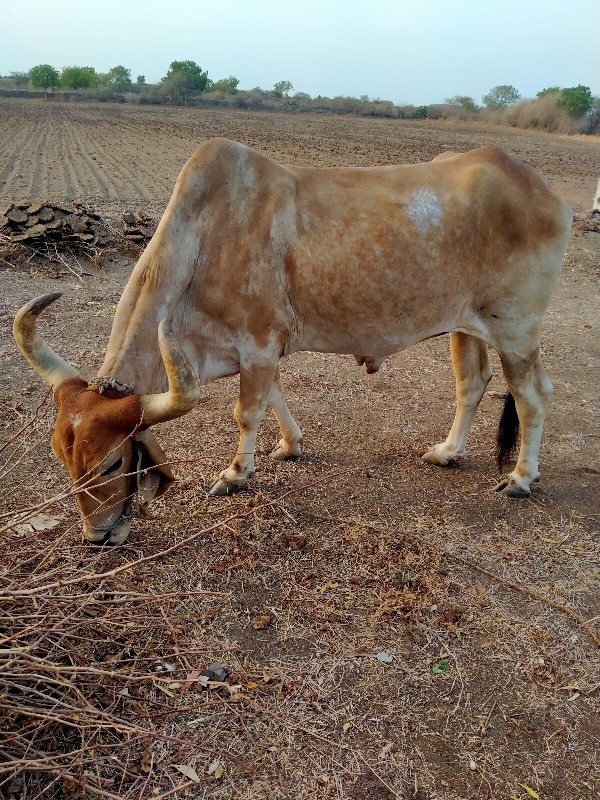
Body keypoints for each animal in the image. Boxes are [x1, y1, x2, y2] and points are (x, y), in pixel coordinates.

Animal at [14, 141, 572, 548]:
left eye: (111, 463)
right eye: (62, 458)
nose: (97, 534)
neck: (205, 238)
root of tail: (543, 192)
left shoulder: (258, 346)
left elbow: (246, 412)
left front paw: (236, 473)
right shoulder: (260, 352)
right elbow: (274, 399)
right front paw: (290, 445)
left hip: (516, 331)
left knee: (532, 396)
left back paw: (521, 478)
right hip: (465, 326)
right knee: (471, 384)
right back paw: (449, 452)